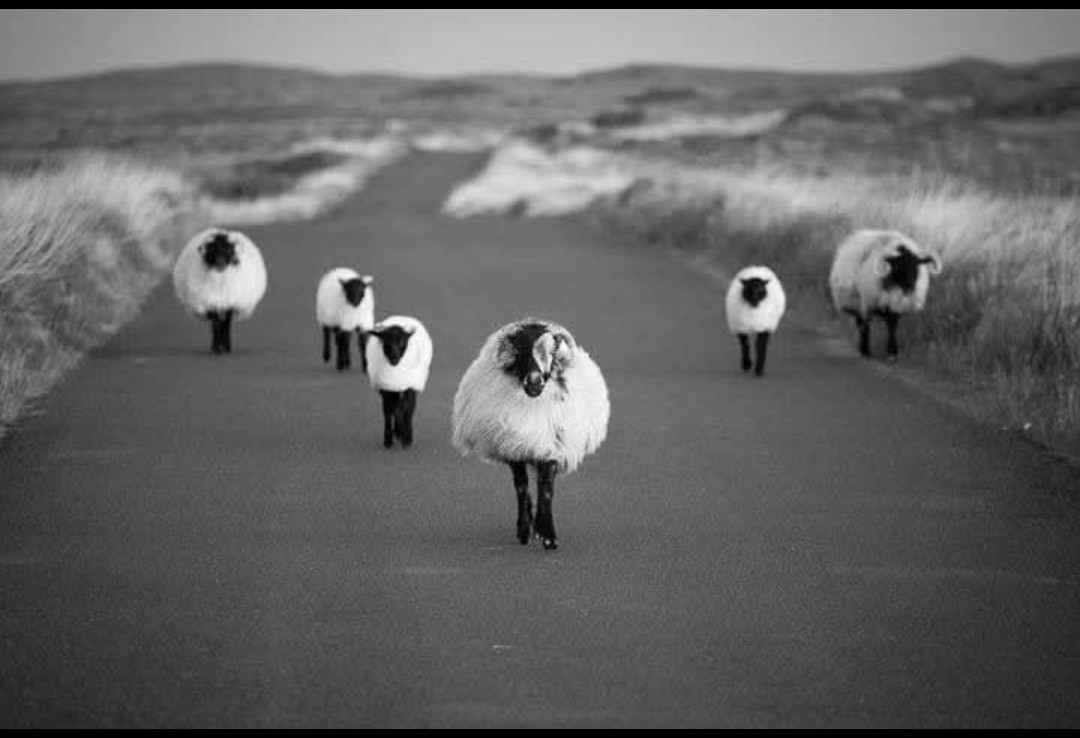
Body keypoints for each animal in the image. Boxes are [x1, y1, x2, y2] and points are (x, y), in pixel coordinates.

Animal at [364, 316, 433, 449]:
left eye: (402, 342)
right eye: (386, 343)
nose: (394, 359)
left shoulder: (410, 389)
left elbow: (407, 412)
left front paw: (406, 439)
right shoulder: (387, 390)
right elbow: (388, 413)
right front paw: (388, 441)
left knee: (404, 408)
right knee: (396, 408)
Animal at [451, 318, 609, 551]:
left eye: (552, 352)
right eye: (518, 351)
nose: (534, 381)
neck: (533, 403)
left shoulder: (552, 445)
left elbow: (546, 489)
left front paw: (548, 535)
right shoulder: (513, 447)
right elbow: (521, 487)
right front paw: (525, 530)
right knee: (523, 486)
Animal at [828, 229, 943, 359]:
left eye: (916, 266)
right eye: (897, 266)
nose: (910, 287)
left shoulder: (895, 306)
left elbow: (892, 326)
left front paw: (893, 352)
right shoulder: (871, 304)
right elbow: (875, 325)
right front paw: (887, 352)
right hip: (858, 303)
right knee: (862, 324)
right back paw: (864, 349)